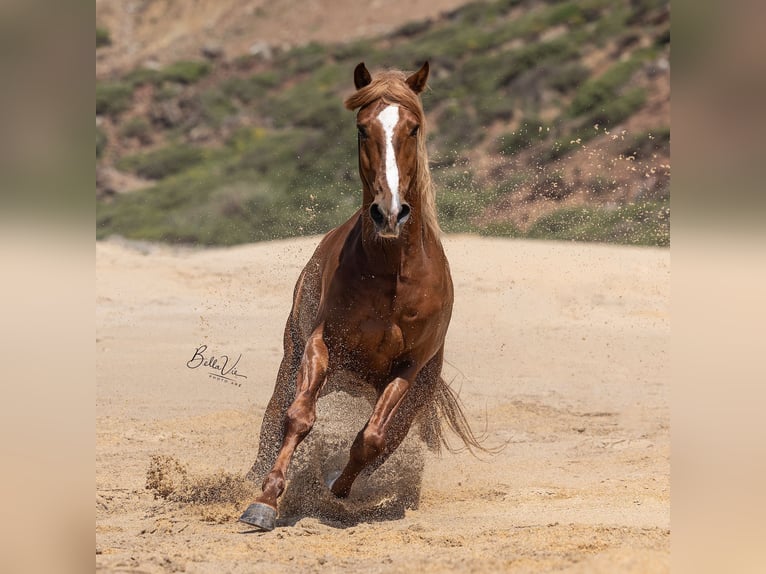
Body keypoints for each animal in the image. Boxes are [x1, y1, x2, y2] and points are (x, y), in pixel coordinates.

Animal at [240, 60, 484, 532]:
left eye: (413, 127)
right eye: (361, 128)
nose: (389, 213)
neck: (392, 275)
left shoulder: (408, 368)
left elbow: (371, 439)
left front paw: (338, 489)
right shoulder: (321, 344)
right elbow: (298, 417)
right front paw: (266, 500)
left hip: (413, 392)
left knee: (386, 440)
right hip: (295, 356)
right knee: (274, 416)